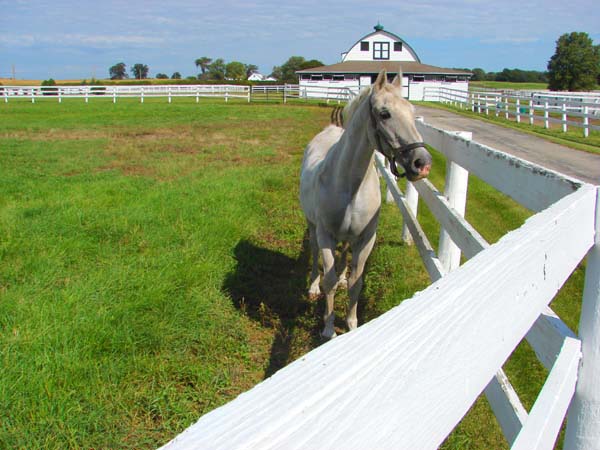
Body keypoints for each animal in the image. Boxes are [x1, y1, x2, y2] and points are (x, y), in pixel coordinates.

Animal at [300, 70, 432, 338]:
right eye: (384, 113)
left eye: (411, 111)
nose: (422, 163)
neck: (350, 187)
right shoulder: (326, 235)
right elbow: (328, 279)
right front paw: (328, 329)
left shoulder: (365, 239)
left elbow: (356, 283)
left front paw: (351, 324)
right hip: (312, 226)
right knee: (315, 252)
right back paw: (313, 286)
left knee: (343, 257)